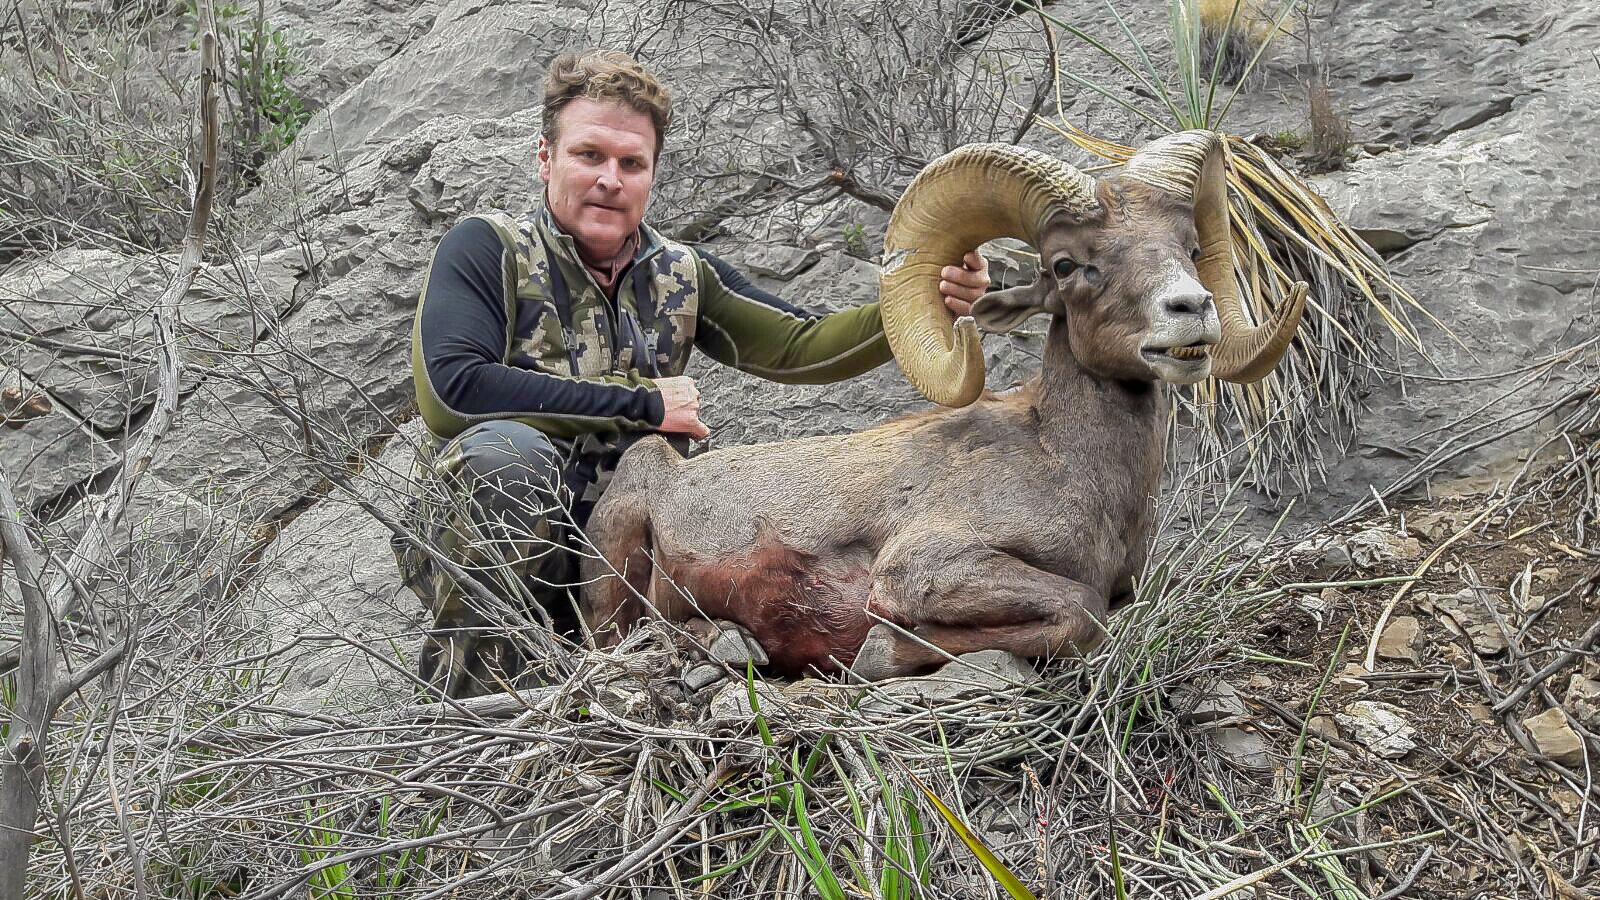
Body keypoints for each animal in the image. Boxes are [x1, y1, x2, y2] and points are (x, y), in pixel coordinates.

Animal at [579, 131, 1307, 679]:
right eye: (1066, 265)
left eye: (1191, 249)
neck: (1067, 463)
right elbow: (1081, 611)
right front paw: (878, 654)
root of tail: (665, 472)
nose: (1190, 309)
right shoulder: (921, 569)